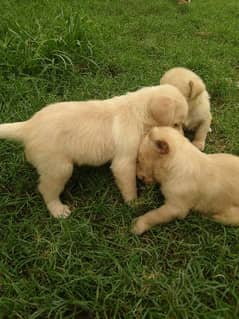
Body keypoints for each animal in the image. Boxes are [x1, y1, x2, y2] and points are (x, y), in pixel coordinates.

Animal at [0, 85, 189, 219]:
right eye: (176, 124)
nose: (184, 140)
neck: (138, 112)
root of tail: (28, 126)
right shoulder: (124, 161)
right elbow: (129, 184)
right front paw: (134, 203)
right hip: (59, 168)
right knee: (46, 189)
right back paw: (58, 210)